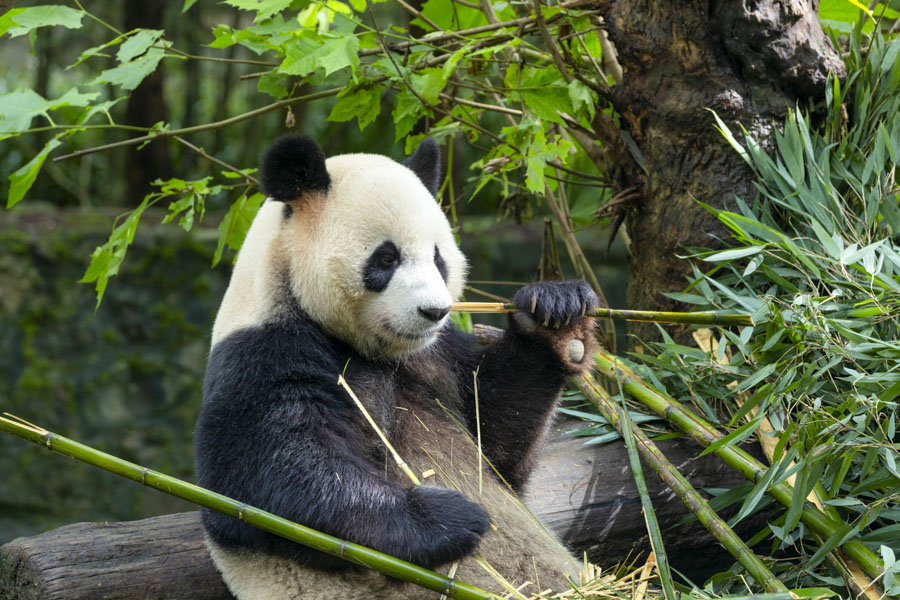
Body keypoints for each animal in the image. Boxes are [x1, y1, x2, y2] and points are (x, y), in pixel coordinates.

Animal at [194, 135, 599, 599]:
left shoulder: (435, 356)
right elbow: (264, 479)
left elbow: (498, 446)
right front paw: (449, 516)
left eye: (439, 258)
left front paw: (555, 315)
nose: (434, 311)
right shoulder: (264, 353)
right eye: (386, 259)